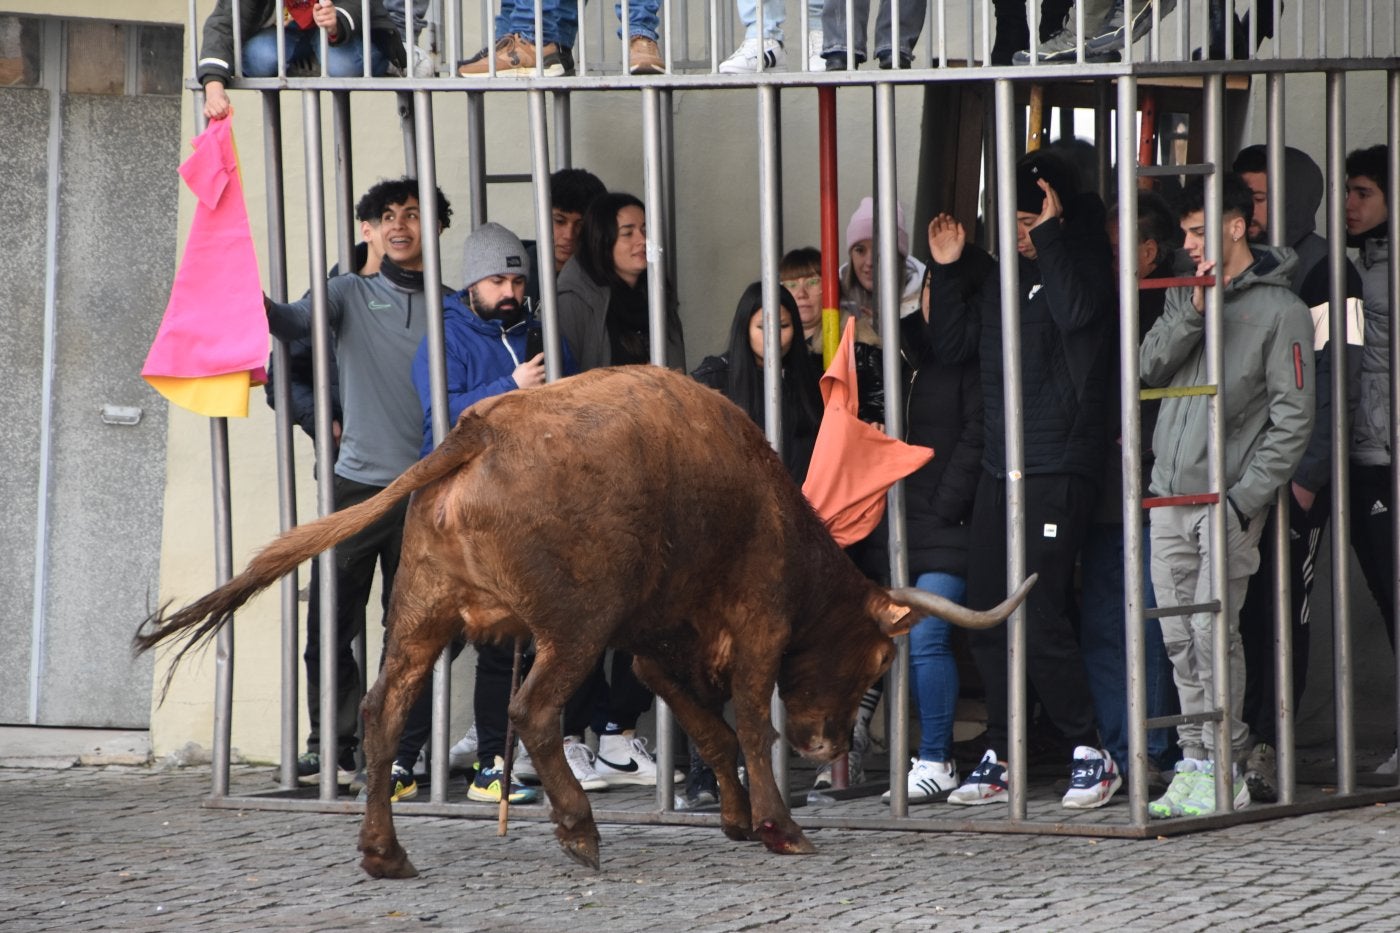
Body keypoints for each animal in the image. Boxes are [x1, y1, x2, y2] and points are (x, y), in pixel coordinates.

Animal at [136, 364, 1036, 874]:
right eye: (877, 662)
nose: (832, 744)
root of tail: (477, 430)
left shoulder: (651, 646)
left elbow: (710, 729)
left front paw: (737, 818)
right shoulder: (753, 624)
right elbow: (747, 720)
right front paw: (778, 824)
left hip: (423, 611)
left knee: (385, 711)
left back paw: (385, 852)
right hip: (572, 626)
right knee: (531, 709)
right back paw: (578, 827)